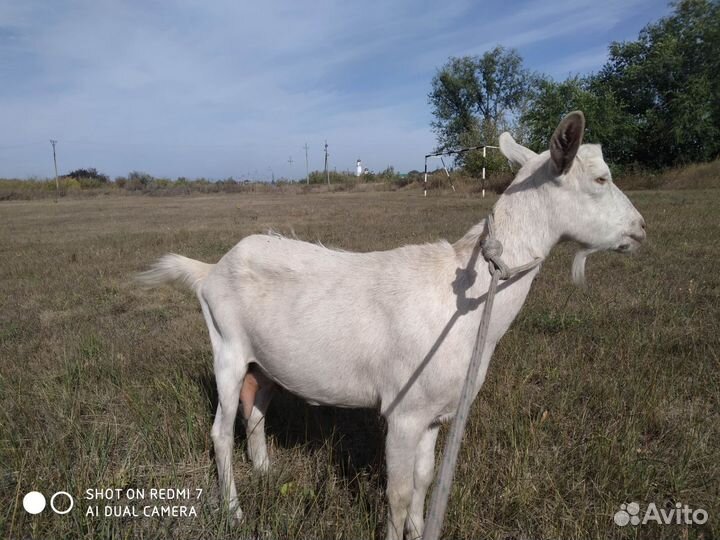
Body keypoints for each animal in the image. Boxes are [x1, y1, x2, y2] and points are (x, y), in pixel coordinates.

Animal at [138, 112, 644, 536]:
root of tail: (210, 270)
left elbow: (424, 480)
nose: (640, 229)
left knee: (256, 408)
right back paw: (234, 511)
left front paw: (420, 531)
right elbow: (398, 492)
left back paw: (265, 471)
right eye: (601, 178)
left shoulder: (435, 413)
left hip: (262, 361)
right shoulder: (404, 411)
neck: (469, 302)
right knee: (220, 432)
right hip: (225, 346)